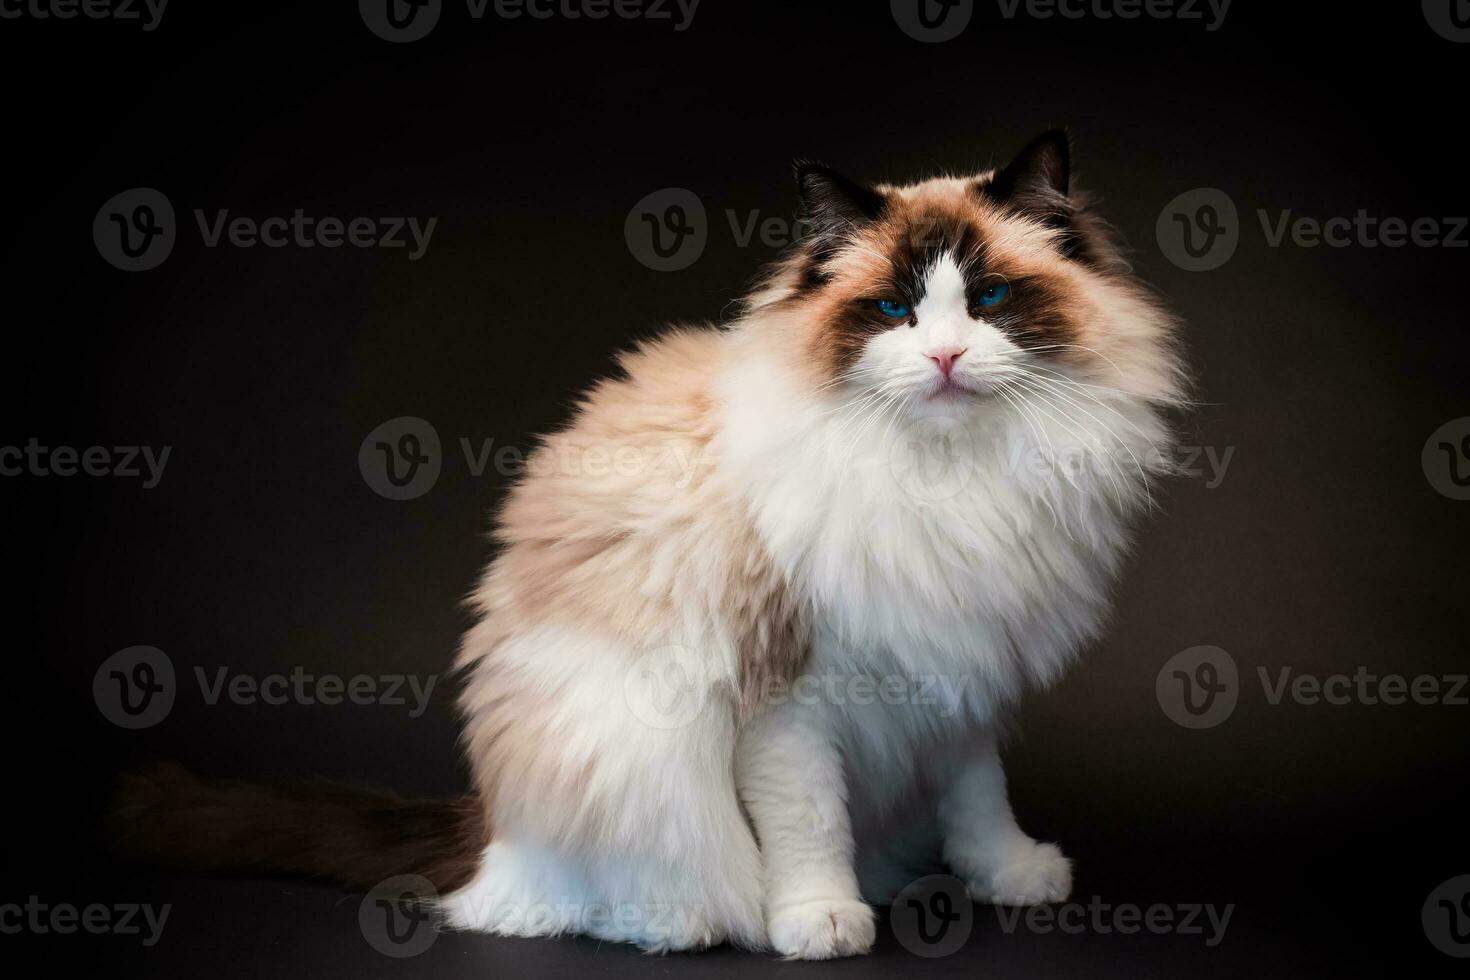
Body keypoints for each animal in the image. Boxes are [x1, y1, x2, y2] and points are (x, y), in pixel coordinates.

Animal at [120, 130, 1187, 957]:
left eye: (992, 300)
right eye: (893, 311)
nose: (947, 356)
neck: (949, 479)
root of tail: (493, 829)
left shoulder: (960, 671)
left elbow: (978, 800)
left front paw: (1013, 876)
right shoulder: (789, 696)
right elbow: (807, 825)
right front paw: (820, 921)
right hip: (625, 746)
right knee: (564, 900)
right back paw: (683, 923)